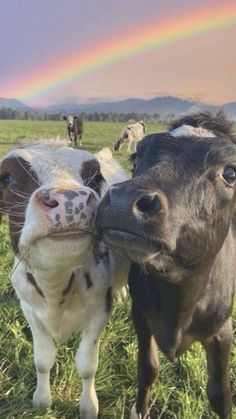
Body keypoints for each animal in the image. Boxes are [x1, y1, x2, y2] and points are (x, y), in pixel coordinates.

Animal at [0, 142, 129, 419]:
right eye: (7, 177)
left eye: (95, 177)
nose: (72, 200)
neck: (55, 287)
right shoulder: (29, 310)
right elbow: (42, 360)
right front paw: (42, 399)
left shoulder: (99, 310)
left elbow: (87, 365)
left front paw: (88, 406)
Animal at [96, 111, 236, 419]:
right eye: (136, 158)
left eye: (231, 173)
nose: (123, 200)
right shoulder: (141, 315)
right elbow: (148, 369)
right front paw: (140, 410)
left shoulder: (222, 330)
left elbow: (220, 394)